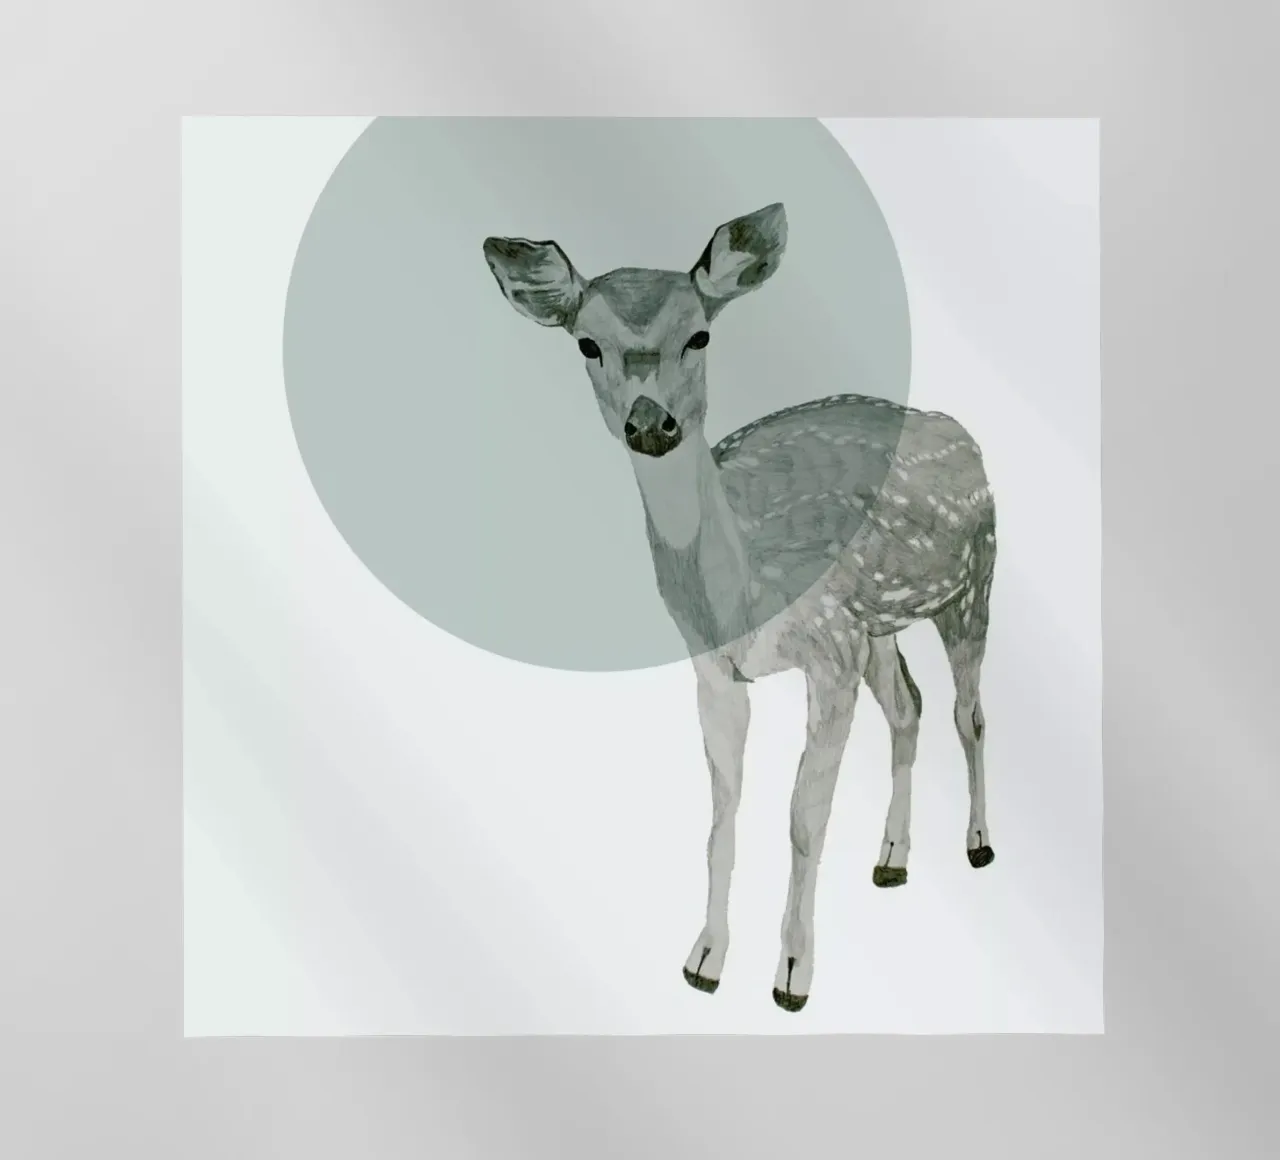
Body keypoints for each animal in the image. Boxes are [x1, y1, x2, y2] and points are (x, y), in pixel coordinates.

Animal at [482, 202, 997, 1013]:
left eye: (700, 334)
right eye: (587, 343)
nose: (650, 423)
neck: (740, 591)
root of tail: (965, 434)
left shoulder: (829, 649)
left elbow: (804, 817)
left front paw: (791, 977)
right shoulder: (716, 669)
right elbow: (722, 816)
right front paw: (703, 962)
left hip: (974, 577)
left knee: (967, 711)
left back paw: (977, 845)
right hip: (880, 623)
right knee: (909, 705)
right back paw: (891, 860)